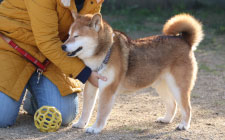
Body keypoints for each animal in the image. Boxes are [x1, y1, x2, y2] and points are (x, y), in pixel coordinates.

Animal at [61, 12, 204, 133]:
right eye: (68, 35)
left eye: (76, 36)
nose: (63, 46)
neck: (105, 53)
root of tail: (184, 40)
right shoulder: (91, 85)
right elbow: (86, 109)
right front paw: (81, 124)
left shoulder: (107, 89)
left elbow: (101, 112)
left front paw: (95, 128)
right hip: (161, 85)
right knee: (172, 104)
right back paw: (166, 119)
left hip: (178, 87)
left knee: (187, 108)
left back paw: (184, 125)